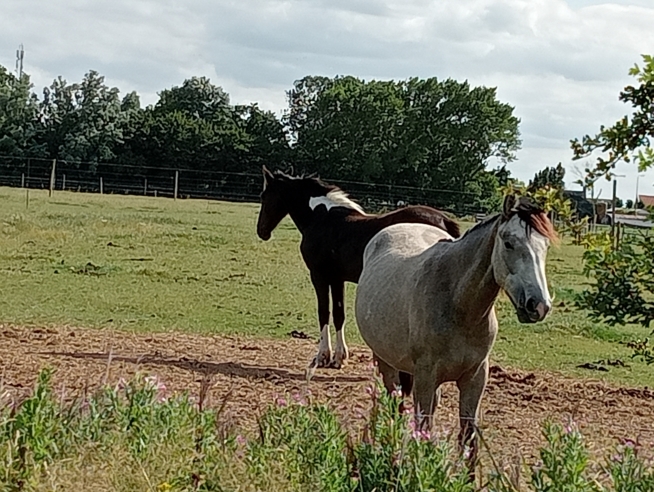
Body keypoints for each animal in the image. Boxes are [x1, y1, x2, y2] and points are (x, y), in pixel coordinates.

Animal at [356, 194, 556, 474]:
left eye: (545, 246)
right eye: (509, 243)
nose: (538, 305)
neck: (457, 303)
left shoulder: (475, 377)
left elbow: (468, 437)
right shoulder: (425, 377)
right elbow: (423, 428)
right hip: (387, 364)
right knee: (394, 407)